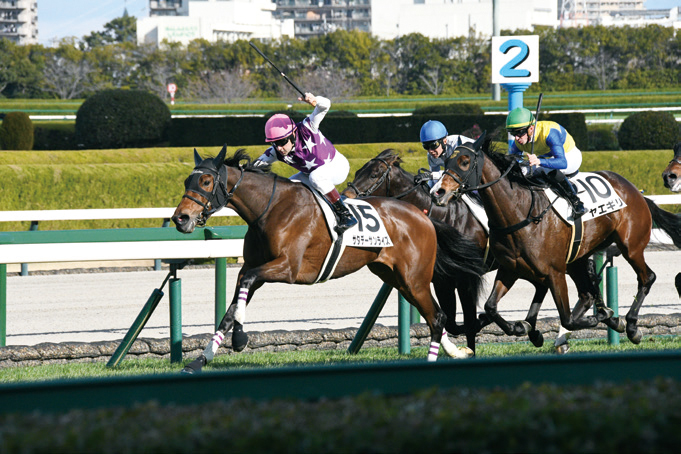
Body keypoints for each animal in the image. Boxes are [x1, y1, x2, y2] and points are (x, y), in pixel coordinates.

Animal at [172, 146, 485, 373]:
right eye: (187, 180)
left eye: (206, 180)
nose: (180, 218)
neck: (270, 208)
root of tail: (424, 216)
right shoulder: (254, 267)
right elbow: (230, 309)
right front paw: (198, 361)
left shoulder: (287, 268)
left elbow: (244, 287)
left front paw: (239, 339)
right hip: (396, 277)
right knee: (435, 316)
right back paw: (457, 351)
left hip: (415, 278)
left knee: (437, 316)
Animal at [342, 149, 556, 353]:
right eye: (358, 171)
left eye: (374, 174)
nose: (345, 197)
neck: (444, 216)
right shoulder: (442, 280)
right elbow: (453, 322)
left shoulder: (466, 277)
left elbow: (468, 321)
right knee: (541, 285)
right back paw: (533, 332)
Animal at [431, 134, 681, 344]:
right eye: (447, 161)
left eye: (464, 161)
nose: (438, 192)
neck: (520, 213)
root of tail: (636, 191)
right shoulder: (510, 269)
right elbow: (490, 306)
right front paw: (520, 327)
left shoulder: (554, 272)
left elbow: (566, 317)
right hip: (579, 257)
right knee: (588, 292)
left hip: (631, 246)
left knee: (646, 277)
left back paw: (630, 325)